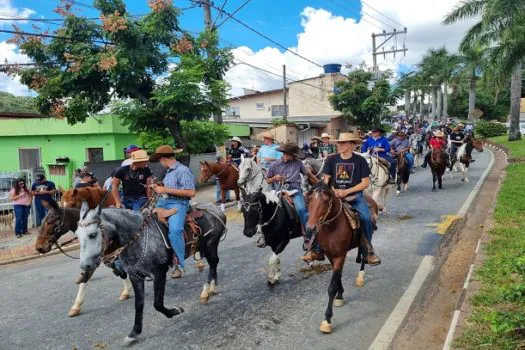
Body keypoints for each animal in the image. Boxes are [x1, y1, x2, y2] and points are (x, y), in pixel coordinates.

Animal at [74, 196, 226, 346]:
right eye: (77, 235)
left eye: (93, 234)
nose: (85, 267)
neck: (137, 239)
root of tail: (216, 210)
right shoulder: (135, 277)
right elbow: (139, 304)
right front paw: (134, 333)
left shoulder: (159, 274)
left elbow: (157, 304)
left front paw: (174, 311)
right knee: (214, 263)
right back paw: (212, 288)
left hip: (211, 244)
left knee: (213, 262)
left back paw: (206, 292)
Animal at [304, 183, 378, 334]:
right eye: (309, 201)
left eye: (326, 201)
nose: (310, 228)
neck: (332, 228)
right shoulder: (330, 255)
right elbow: (337, 277)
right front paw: (340, 296)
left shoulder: (340, 255)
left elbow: (332, 286)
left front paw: (327, 320)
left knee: (365, 254)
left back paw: (361, 275)